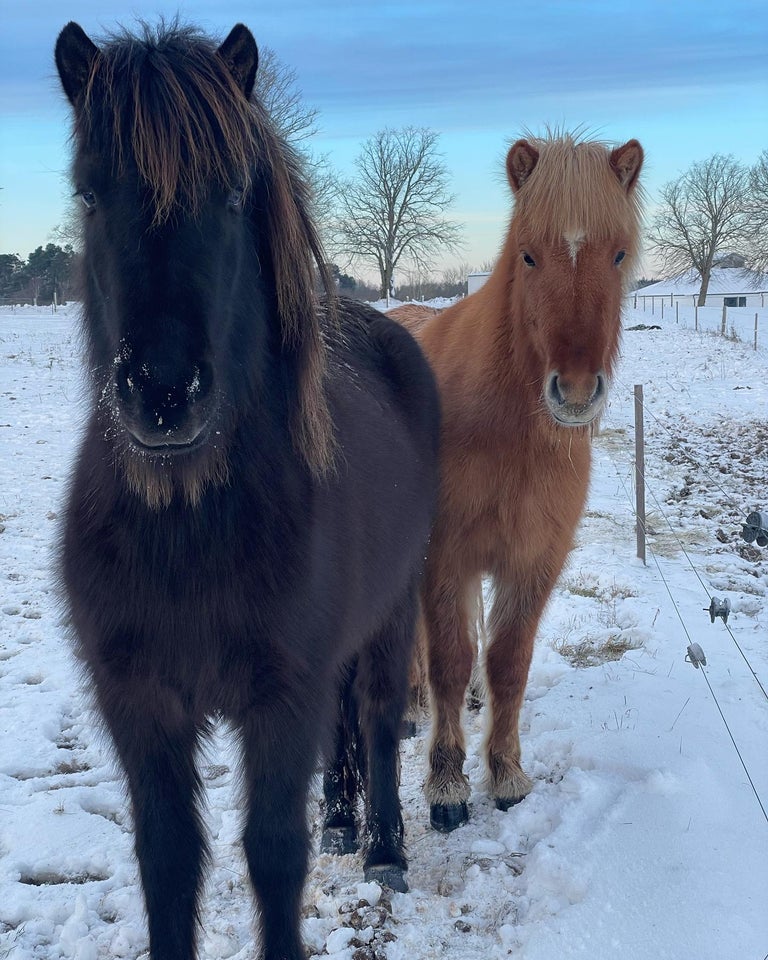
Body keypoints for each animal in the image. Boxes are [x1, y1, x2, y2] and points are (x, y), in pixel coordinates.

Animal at [55, 22, 438, 960]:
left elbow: (273, 855)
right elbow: (168, 862)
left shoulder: (280, 701)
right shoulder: (142, 707)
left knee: (377, 716)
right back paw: (342, 822)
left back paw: (383, 848)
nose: (163, 391)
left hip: (395, 605)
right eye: (89, 194)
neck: (187, 530)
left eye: (231, 195)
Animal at [390, 135, 640, 832]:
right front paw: (447, 786)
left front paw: (504, 773)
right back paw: (410, 707)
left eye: (619, 254)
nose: (575, 393)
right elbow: (449, 660)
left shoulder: (533, 560)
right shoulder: (443, 556)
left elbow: (507, 663)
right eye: (528, 254)